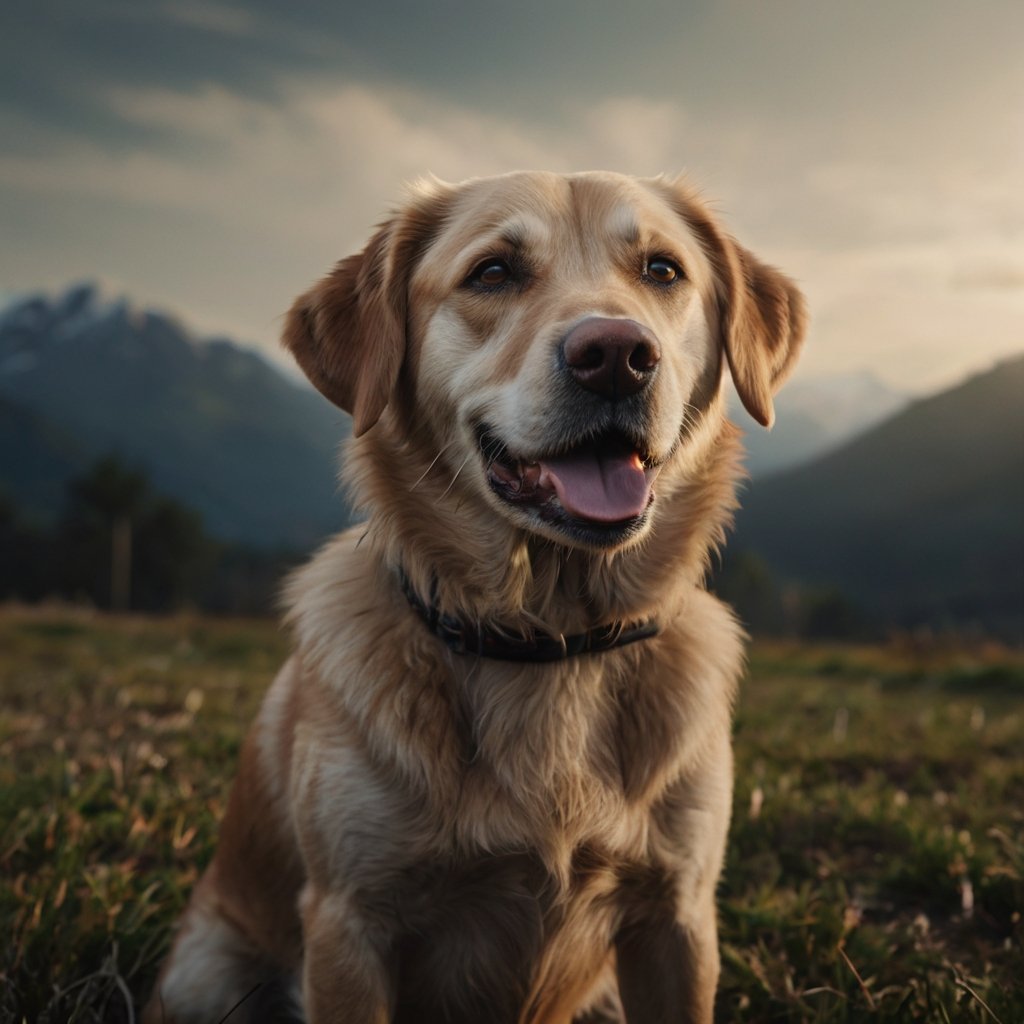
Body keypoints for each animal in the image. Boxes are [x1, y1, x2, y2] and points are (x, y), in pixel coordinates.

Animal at [144, 169, 806, 1024]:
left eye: (662, 270)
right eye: (493, 272)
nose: (617, 356)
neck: (550, 642)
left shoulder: (678, 917)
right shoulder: (349, 925)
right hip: (209, 974)